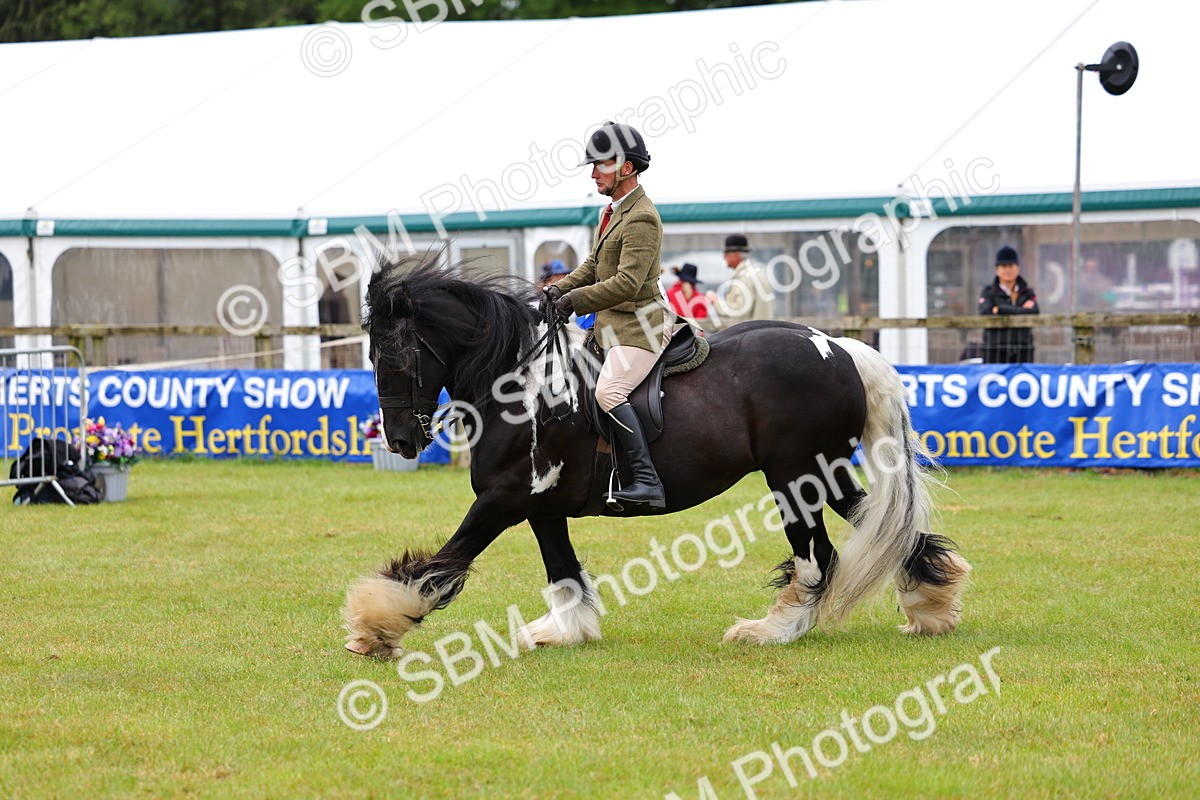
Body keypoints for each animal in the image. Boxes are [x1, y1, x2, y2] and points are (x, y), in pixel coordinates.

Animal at [342, 257, 970, 659]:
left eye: (396, 356)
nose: (400, 441)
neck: (524, 386)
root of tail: (838, 347)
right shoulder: (541, 505)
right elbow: (563, 571)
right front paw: (561, 632)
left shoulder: (503, 499)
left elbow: (443, 564)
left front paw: (375, 630)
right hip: (825, 475)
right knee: (883, 528)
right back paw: (931, 608)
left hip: (795, 477)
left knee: (818, 554)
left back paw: (771, 631)